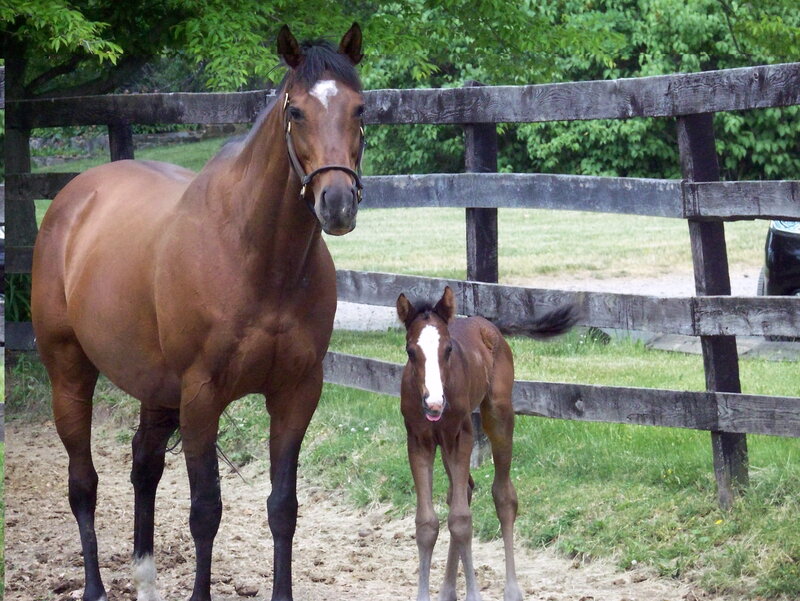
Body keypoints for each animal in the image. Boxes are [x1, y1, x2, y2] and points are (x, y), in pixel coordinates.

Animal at [30, 23, 365, 601]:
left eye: (360, 109)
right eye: (297, 111)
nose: (337, 203)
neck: (255, 254)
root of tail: (73, 199)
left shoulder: (296, 393)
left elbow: (283, 508)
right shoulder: (202, 397)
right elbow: (206, 510)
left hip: (156, 387)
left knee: (143, 466)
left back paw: (145, 580)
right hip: (69, 372)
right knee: (83, 482)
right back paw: (95, 586)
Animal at [396, 287, 579, 601]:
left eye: (448, 349)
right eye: (411, 351)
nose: (434, 403)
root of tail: (487, 323)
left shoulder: (461, 436)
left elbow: (460, 520)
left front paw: (474, 594)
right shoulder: (418, 441)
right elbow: (427, 523)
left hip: (497, 416)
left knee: (503, 496)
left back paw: (512, 590)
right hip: (446, 442)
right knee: (463, 490)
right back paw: (447, 590)